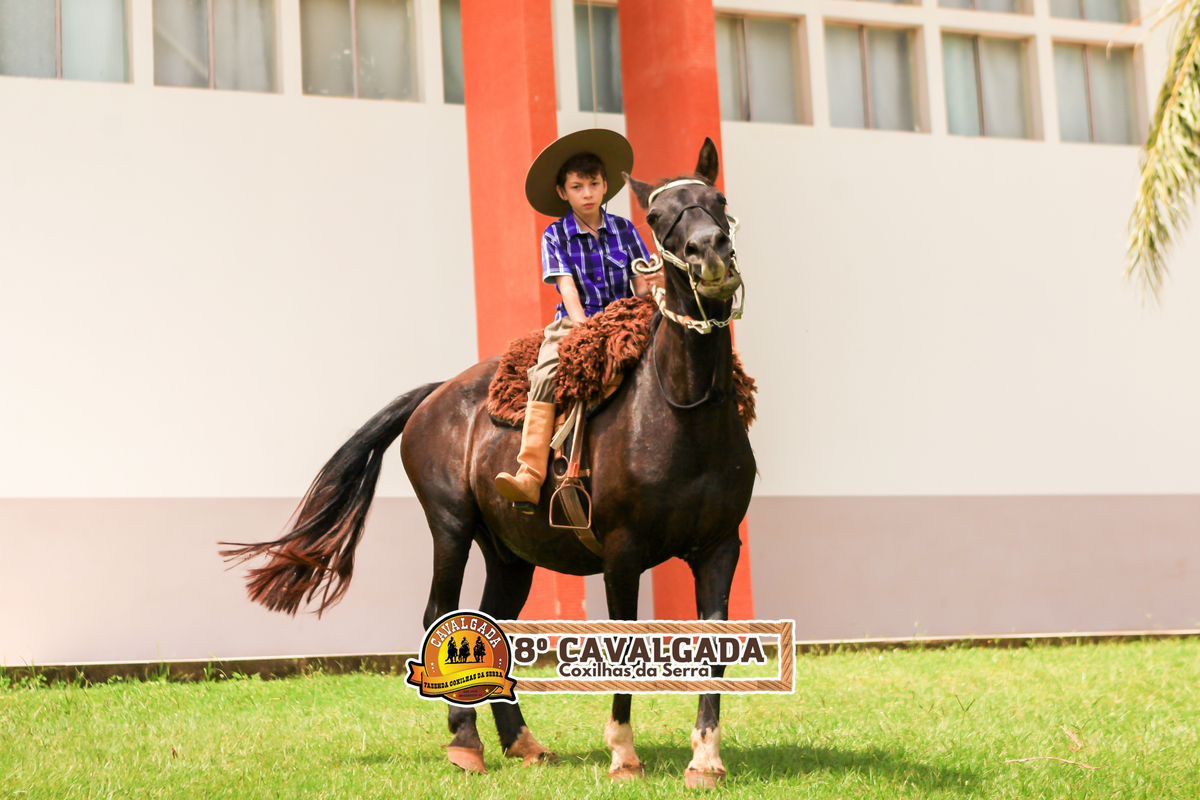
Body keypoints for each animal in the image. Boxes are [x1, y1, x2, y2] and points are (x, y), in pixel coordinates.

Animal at [221, 138, 755, 788]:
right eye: (659, 217)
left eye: (717, 199)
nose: (711, 253)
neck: (679, 409)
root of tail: (435, 394)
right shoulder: (622, 553)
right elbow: (621, 648)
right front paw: (624, 754)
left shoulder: (719, 547)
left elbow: (715, 647)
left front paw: (704, 759)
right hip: (451, 527)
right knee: (441, 613)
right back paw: (465, 743)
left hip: (510, 555)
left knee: (492, 621)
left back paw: (522, 741)